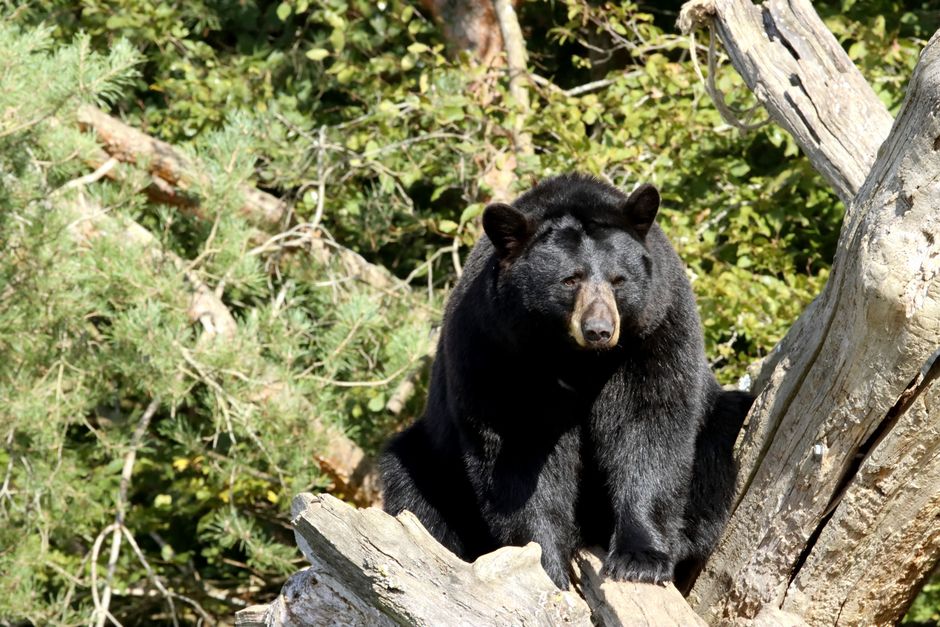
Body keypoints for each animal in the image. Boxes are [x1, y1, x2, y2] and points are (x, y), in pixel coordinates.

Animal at [380, 173, 752, 590]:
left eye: (618, 280)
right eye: (570, 280)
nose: (599, 330)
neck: (575, 358)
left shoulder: (655, 330)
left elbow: (650, 424)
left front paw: (640, 559)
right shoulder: (495, 348)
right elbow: (518, 453)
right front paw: (545, 565)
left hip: (717, 421)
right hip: (435, 461)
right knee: (414, 488)